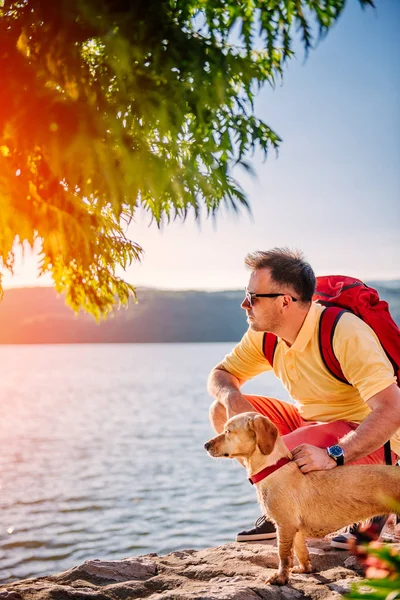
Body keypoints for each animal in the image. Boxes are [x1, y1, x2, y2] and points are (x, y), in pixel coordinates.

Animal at [205, 412, 398, 584]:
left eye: (228, 431)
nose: (205, 445)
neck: (274, 469)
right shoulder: (295, 529)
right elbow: (300, 552)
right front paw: (304, 569)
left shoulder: (285, 526)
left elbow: (283, 555)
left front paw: (280, 578)